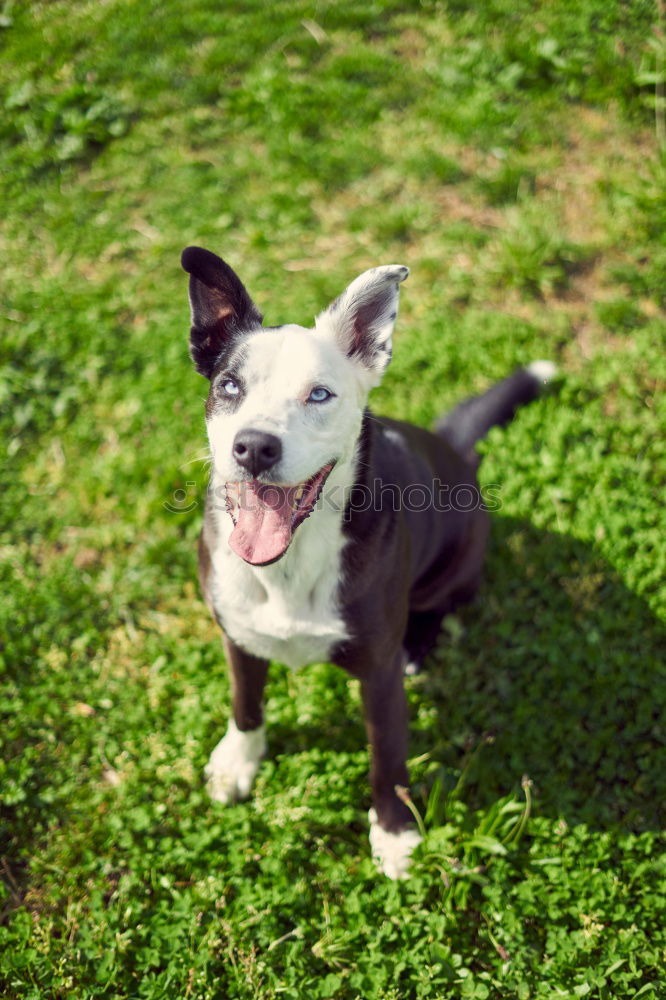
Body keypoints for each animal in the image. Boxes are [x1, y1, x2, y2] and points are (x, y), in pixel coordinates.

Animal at [179, 246, 552, 880]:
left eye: (319, 395)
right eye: (229, 385)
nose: (253, 447)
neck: (291, 559)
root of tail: (455, 449)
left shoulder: (377, 676)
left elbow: (388, 759)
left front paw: (395, 834)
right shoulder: (238, 635)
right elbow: (245, 703)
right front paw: (238, 762)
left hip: (455, 567)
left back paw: (420, 648)